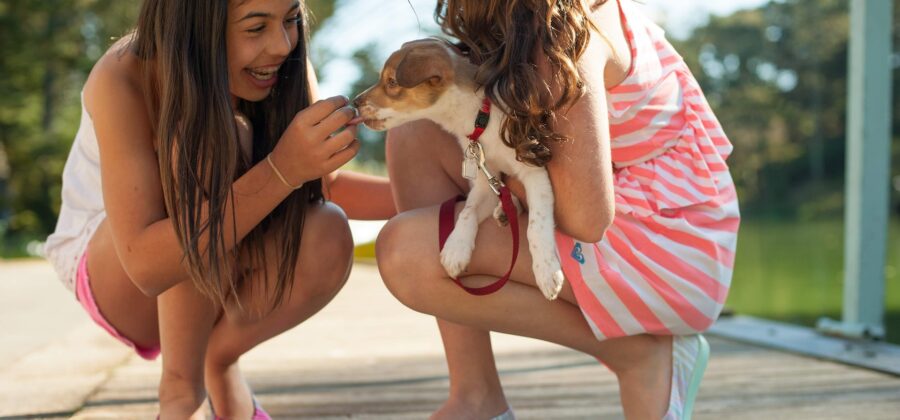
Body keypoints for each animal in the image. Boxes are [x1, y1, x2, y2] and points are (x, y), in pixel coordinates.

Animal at [352, 37, 564, 298]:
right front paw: (456, 248)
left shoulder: (535, 172)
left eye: (391, 82)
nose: (354, 102)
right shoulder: (483, 178)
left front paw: (547, 270)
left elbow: (537, 225)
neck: (477, 119)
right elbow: (468, 210)